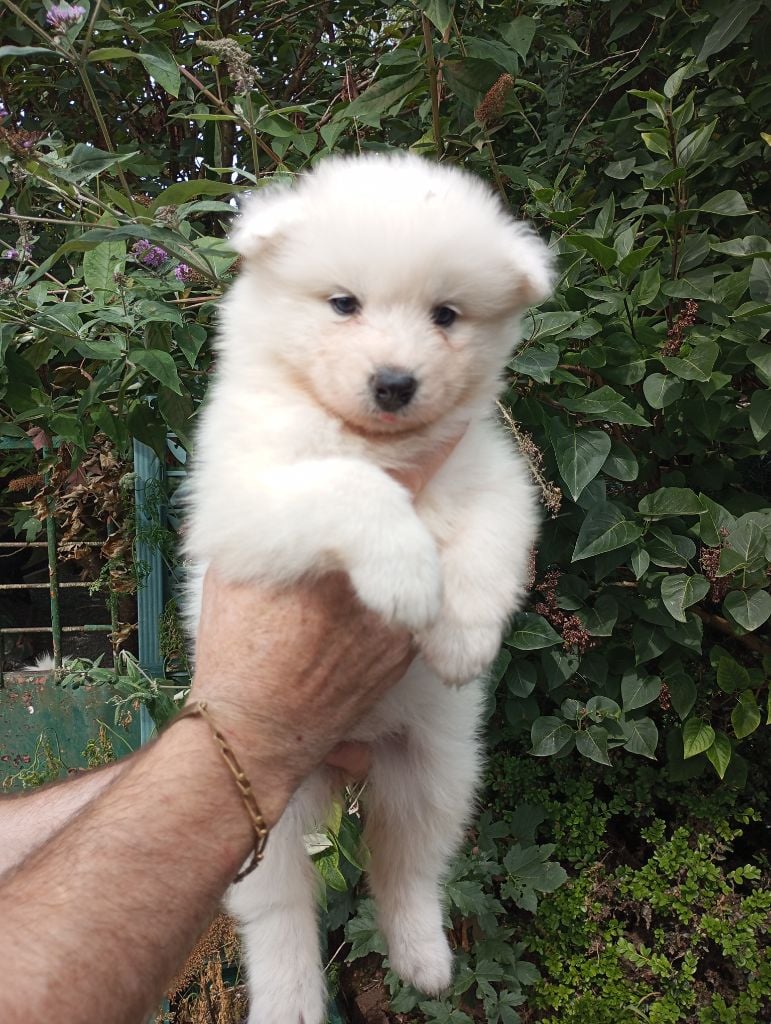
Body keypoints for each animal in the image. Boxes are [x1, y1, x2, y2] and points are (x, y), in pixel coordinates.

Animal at [184, 151, 548, 1024]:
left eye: (446, 314)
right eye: (342, 303)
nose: (394, 382)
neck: (371, 438)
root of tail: (342, 767)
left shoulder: (492, 475)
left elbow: (490, 545)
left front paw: (461, 638)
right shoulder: (242, 501)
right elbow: (350, 486)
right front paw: (408, 577)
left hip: (437, 772)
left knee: (405, 871)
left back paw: (424, 960)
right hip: (262, 822)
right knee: (281, 915)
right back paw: (288, 1003)